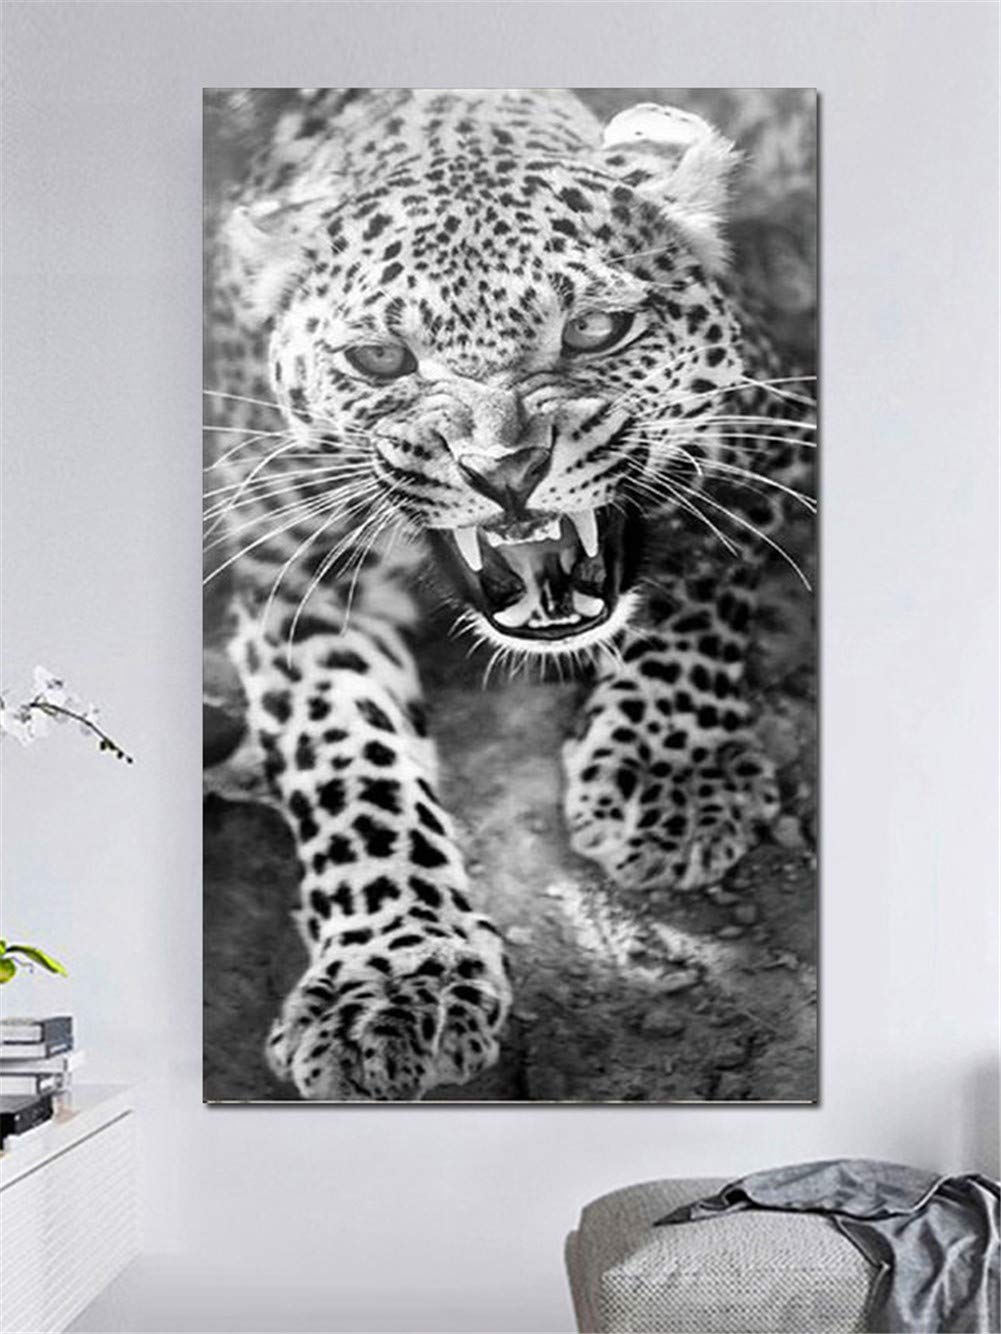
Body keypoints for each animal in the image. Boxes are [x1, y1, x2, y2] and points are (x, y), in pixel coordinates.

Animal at [204, 88, 815, 1102]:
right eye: (379, 359)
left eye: (596, 330)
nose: (504, 471)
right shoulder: (289, 567)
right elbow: (347, 758)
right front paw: (391, 980)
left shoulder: (766, 425)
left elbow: (695, 568)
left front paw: (666, 775)